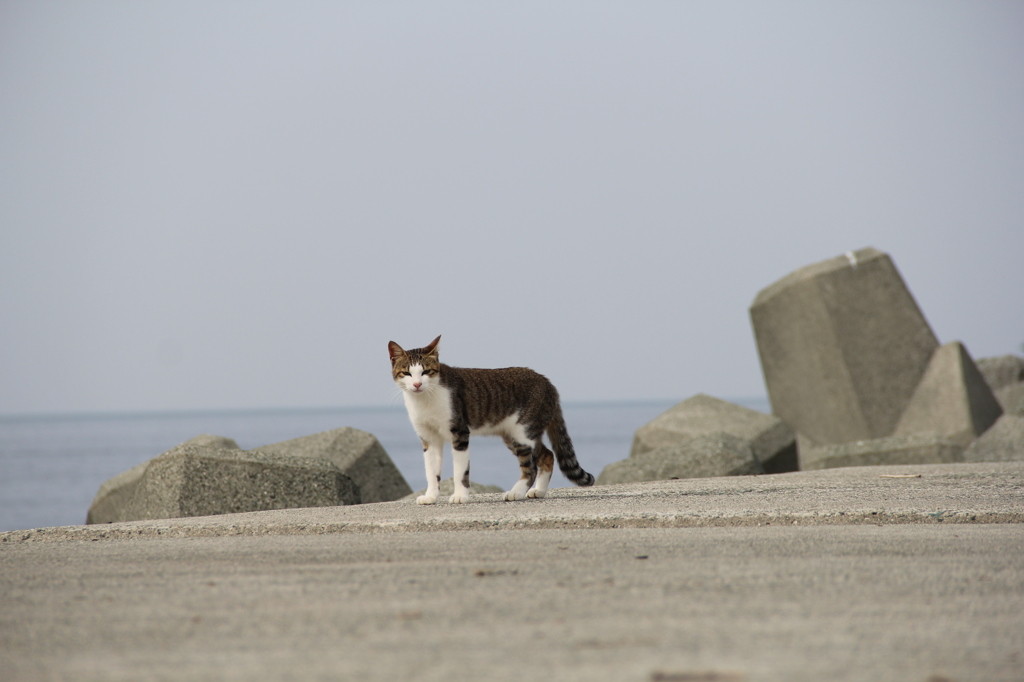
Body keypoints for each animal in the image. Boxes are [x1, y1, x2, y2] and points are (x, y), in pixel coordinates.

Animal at [387, 335, 598, 501]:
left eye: (426, 372)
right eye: (407, 373)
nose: (417, 384)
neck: (424, 400)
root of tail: (548, 383)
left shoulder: (460, 433)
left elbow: (460, 470)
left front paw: (460, 496)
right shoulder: (429, 438)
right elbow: (431, 471)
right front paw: (431, 496)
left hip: (523, 431)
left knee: (530, 467)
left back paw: (517, 492)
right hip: (516, 435)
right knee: (547, 455)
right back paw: (538, 491)